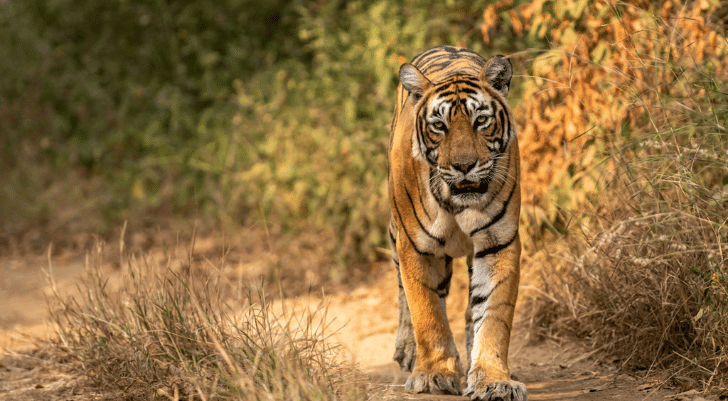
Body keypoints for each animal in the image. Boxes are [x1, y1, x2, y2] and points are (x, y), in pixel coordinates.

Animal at [388, 45, 526, 400]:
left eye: (481, 120)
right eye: (439, 125)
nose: (464, 166)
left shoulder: (498, 242)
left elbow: (493, 313)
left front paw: (494, 379)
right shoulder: (416, 246)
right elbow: (427, 311)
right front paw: (433, 376)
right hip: (396, 232)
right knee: (404, 294)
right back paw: (408, 351)